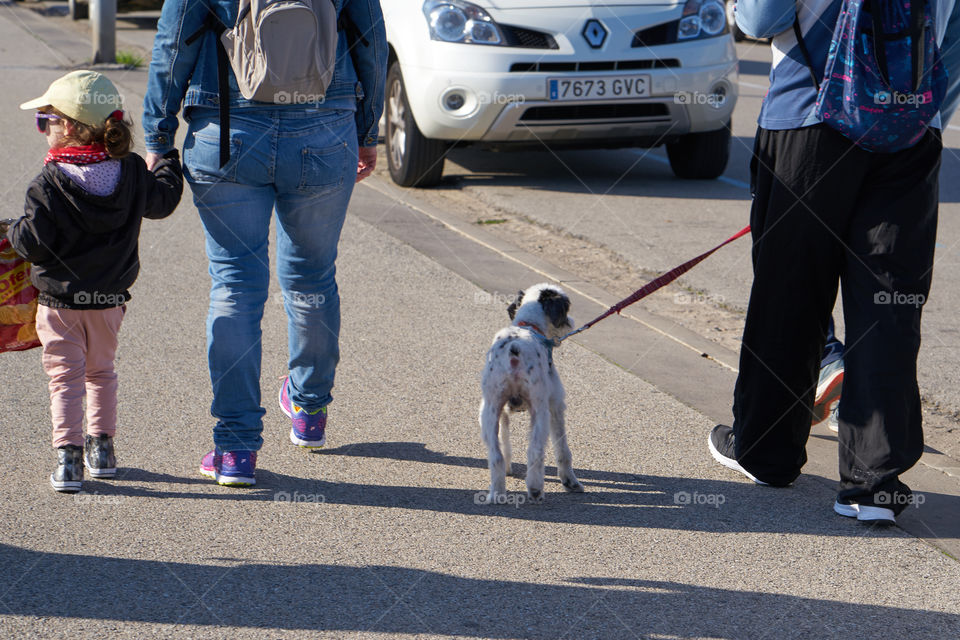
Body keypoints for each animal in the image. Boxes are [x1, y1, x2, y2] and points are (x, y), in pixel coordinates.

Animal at [476, 282, 580, 502]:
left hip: (488, 411)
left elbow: (505, 445)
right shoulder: (555, 407)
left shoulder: (502, 412)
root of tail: (514, 348)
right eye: (566, 308)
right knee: (534, 452)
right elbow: (563, 451)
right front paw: (570, 481)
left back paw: (497, 492)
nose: (571, 322)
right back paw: (535, 488)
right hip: (540, 413)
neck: (528, 326)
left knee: (496, 455)